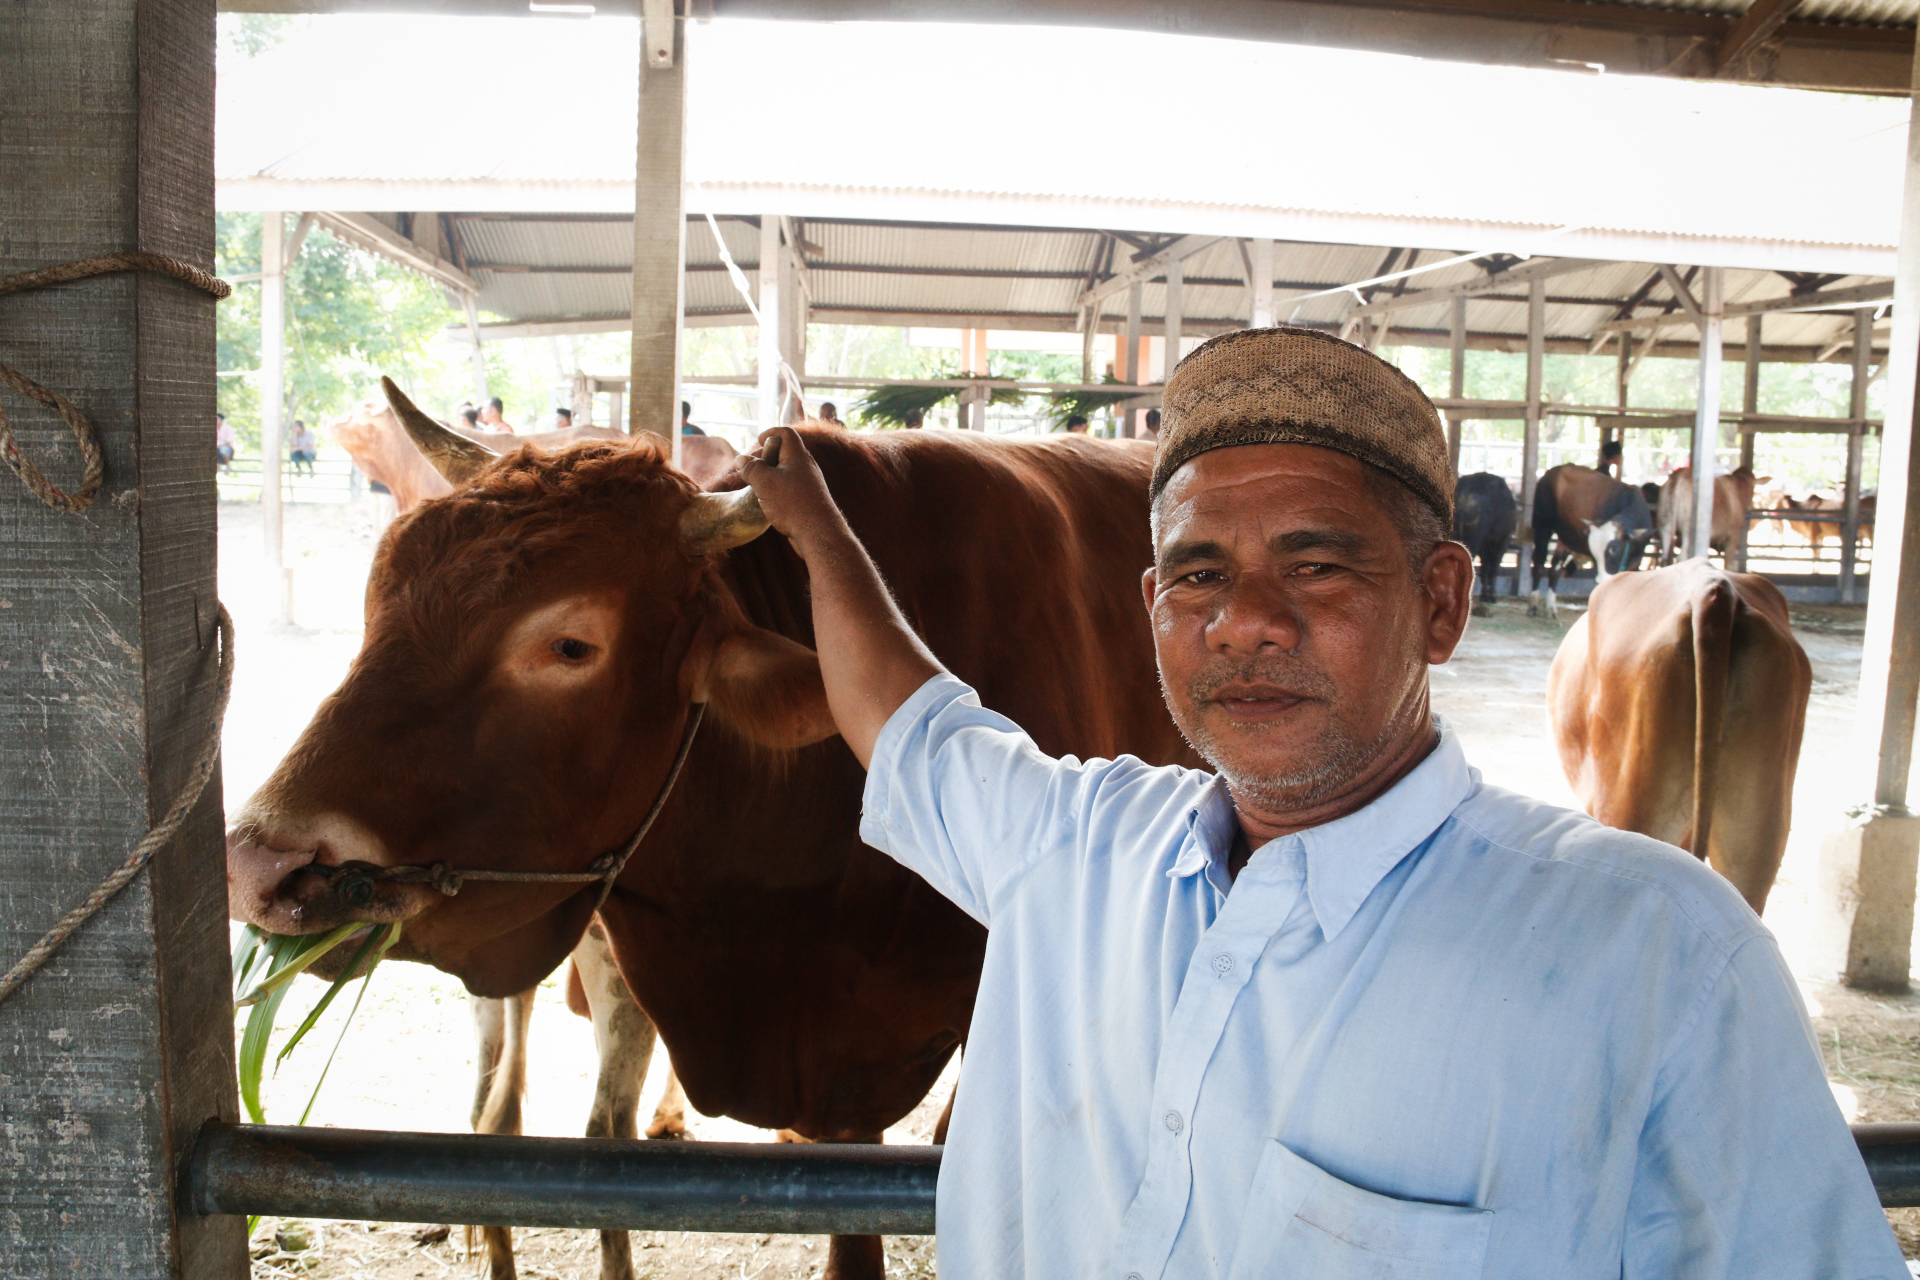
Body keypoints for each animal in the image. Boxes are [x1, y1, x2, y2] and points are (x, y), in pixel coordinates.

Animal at [1528, 466, 1651, 621]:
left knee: (1555, 569)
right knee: (1539, 563)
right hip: (1542, 527)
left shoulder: (1636, 562)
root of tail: (1553, 471)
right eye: (1594, 552)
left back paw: (1551, 608)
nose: (1601, 580)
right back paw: (1533, 605)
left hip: (1564, 537)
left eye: (1614, 549)